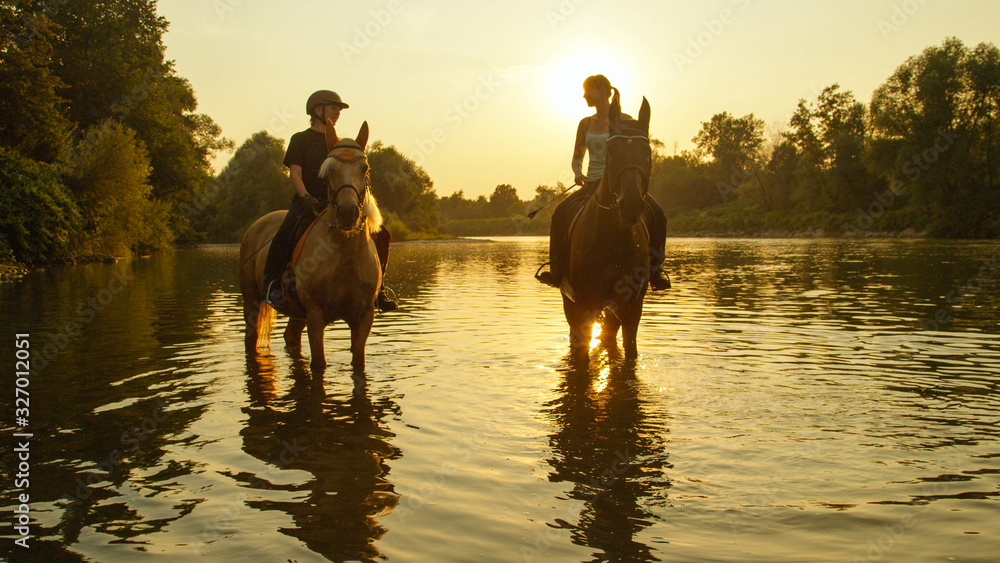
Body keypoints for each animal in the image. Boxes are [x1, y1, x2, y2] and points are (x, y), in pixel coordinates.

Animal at [240, 120, 384, 370]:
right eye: (329, 171)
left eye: (364, 168)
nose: (347, 213)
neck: (345, 255)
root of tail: (255, 225)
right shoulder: (316, 316)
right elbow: (319, 364)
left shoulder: (363, 317)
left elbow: (358, 363)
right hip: (252, 301)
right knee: (252, 338)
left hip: (298, 313)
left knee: (290, 336)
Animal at [568, 91, 652, 356]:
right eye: (610, 151)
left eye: (647, 152)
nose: (631, 204)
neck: (611, 236)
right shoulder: (583, 303)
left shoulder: (632, 306)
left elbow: (630, 352)